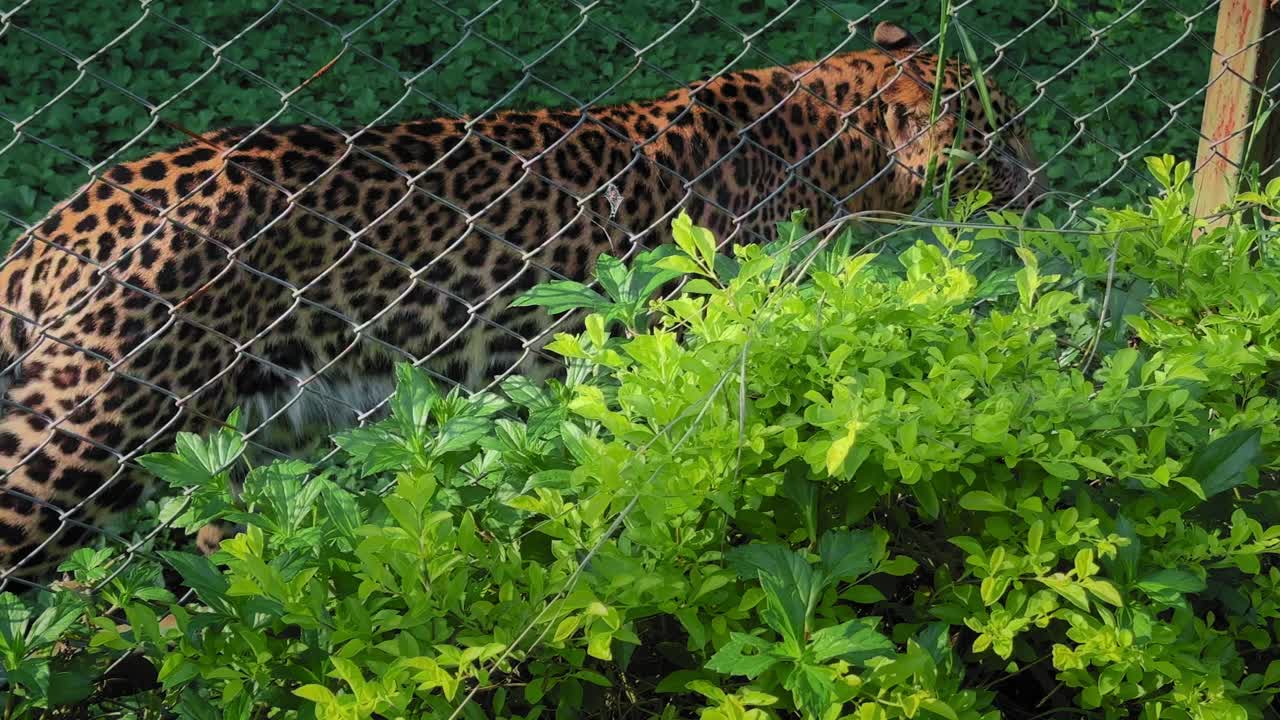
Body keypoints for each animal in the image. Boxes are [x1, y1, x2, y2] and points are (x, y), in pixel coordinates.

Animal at [0, 21, 1042, 583]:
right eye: (1002, 137)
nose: (1038, 187)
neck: (830, 147)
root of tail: (60, 220)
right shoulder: (686, 354)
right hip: (84, 436)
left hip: (221, 450)